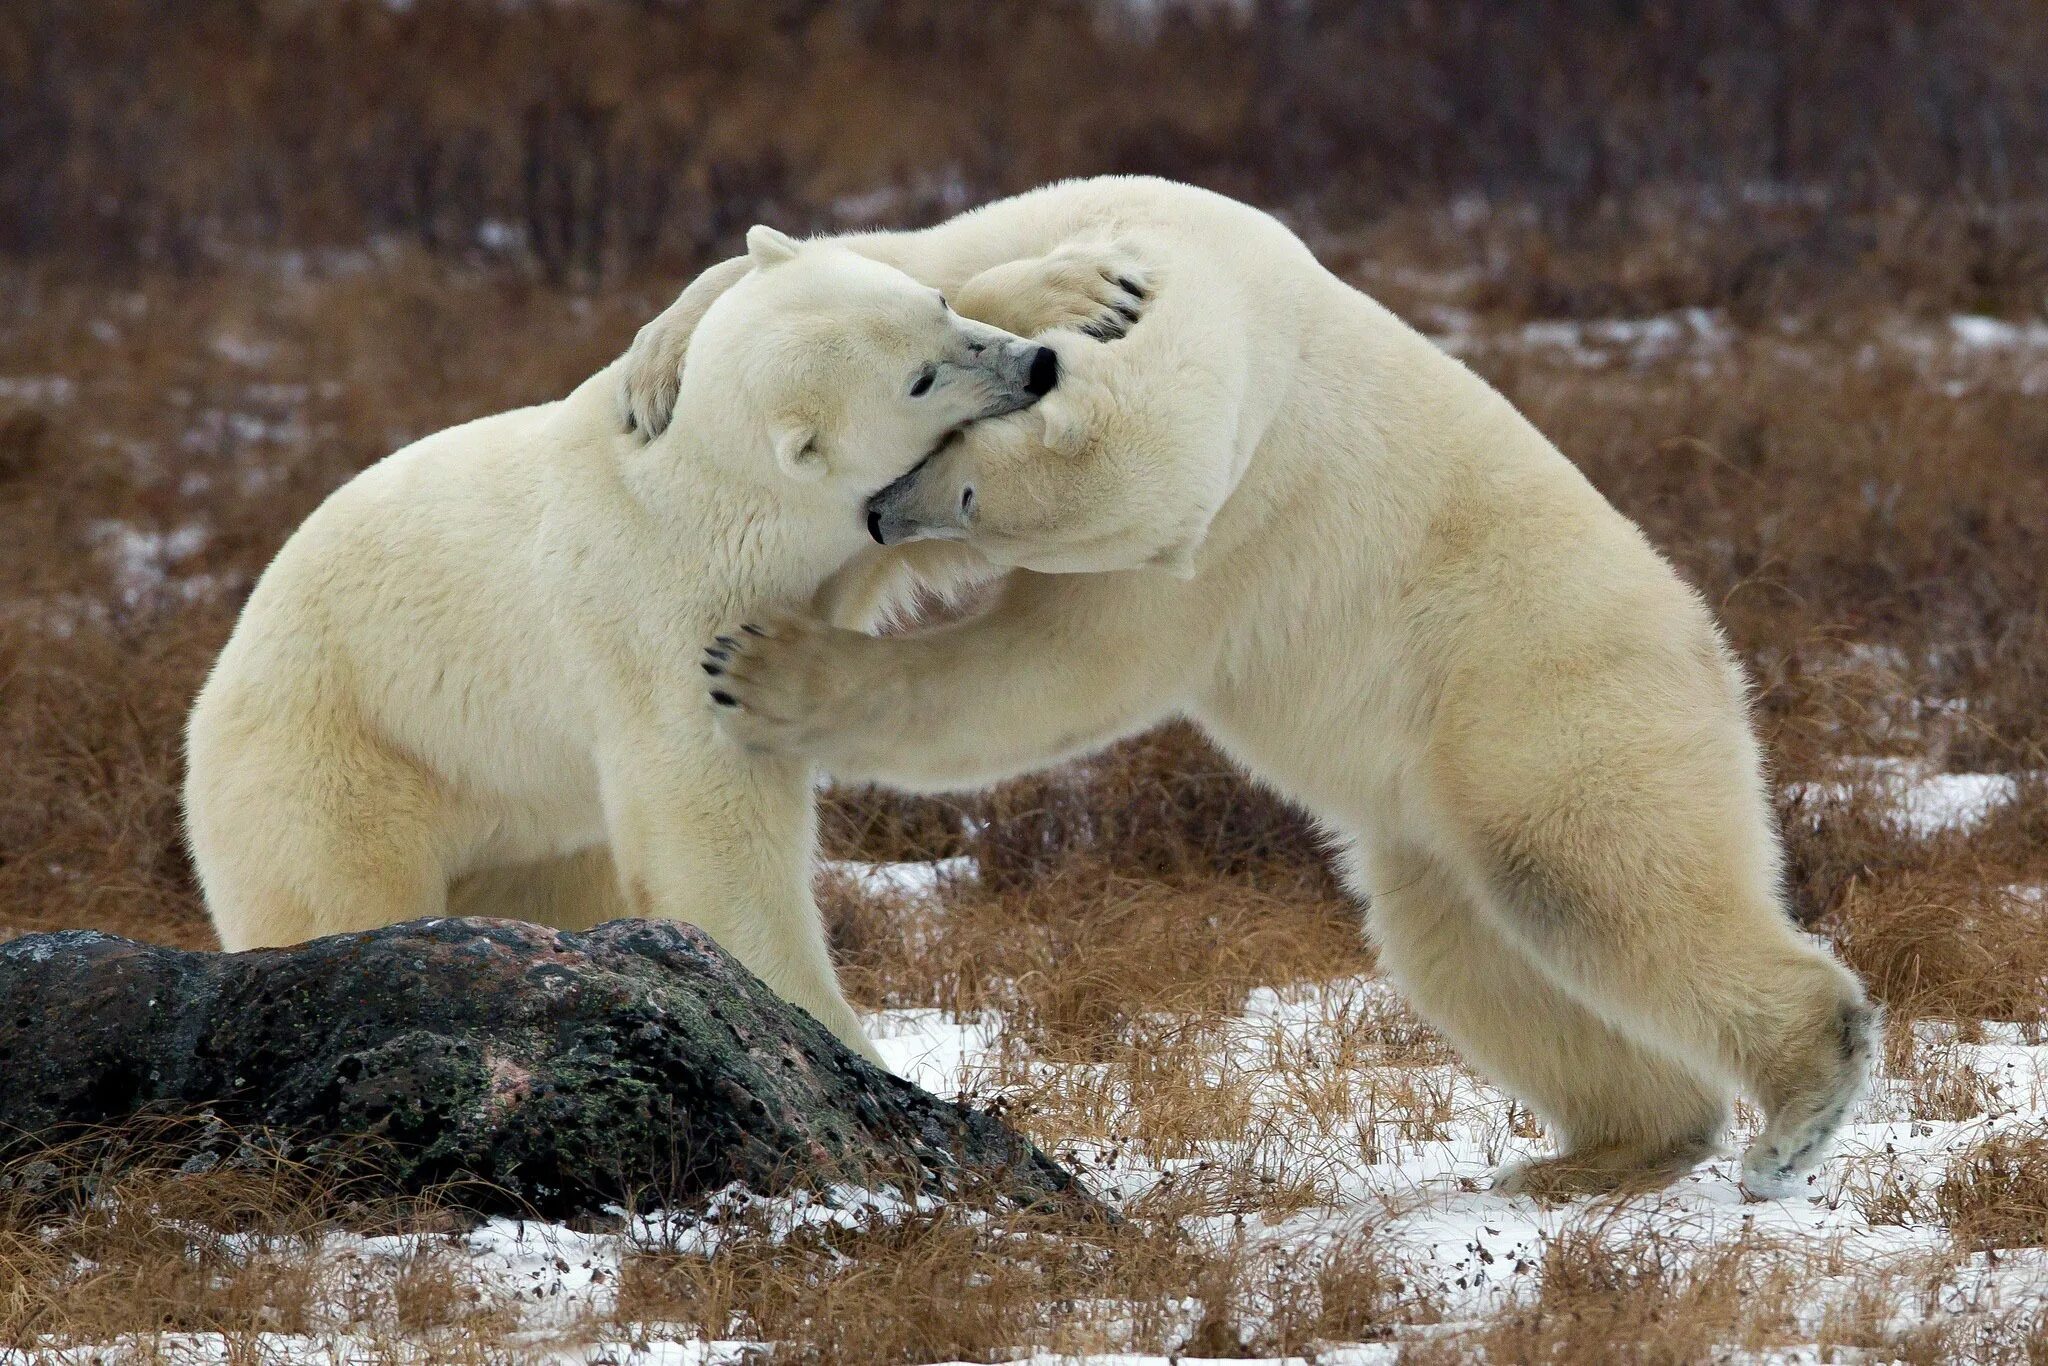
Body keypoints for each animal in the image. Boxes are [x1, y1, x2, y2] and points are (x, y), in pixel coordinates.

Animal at [184, 224, 1138, 1064]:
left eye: (935, 309)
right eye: (921, 381)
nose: (1032, 366)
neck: (711, 490)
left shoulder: (842, 544)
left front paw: (1087, 291)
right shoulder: (672, 620)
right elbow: (712, 824)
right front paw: (835, 1036)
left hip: (533, 830)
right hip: (338, 767)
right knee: (336, 893)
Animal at [618, 174, 1875, 1196]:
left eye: (969, 493)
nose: (885, 518)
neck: (1241, 291)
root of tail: (1715, 650)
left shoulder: (1223, 526)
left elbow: (1052, 670)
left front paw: (763, 669)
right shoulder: (1113, 221)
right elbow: (909, 251)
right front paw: (658, 364)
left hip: (1546, 695)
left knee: (1594, 881)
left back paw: (1794, 1104)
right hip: (1453, 780)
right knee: (1471, 949)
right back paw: (1609, 1149)